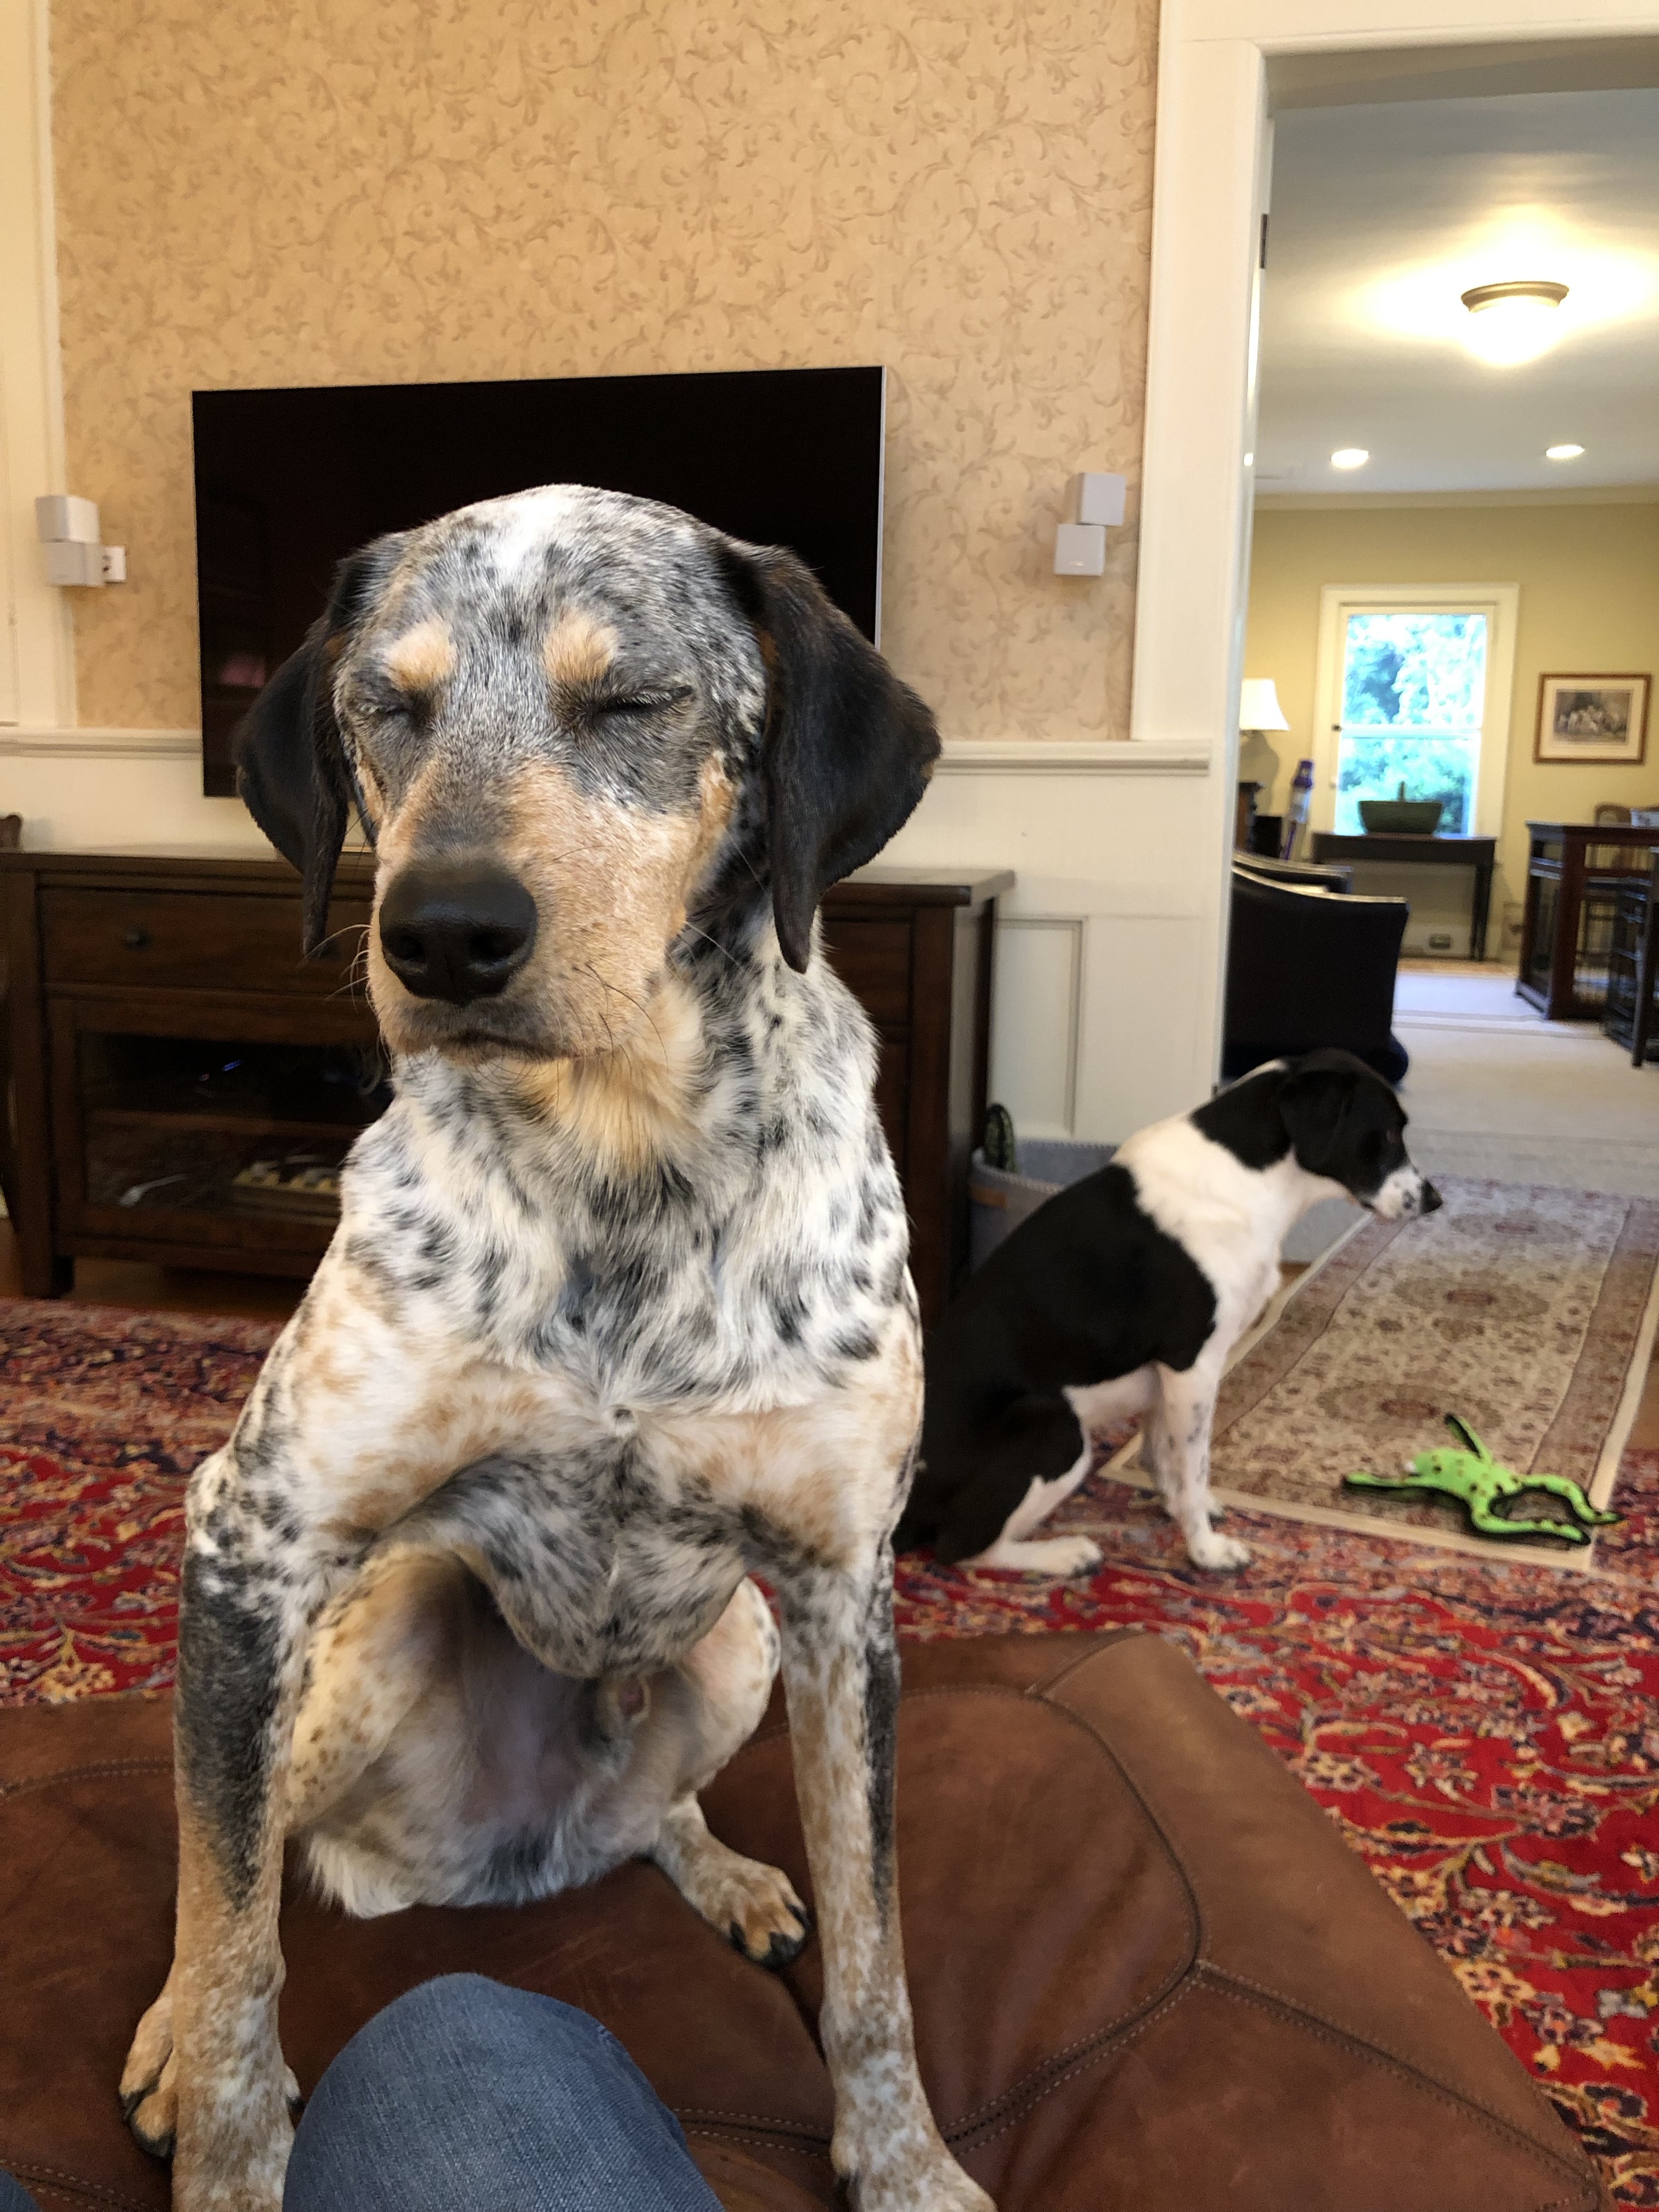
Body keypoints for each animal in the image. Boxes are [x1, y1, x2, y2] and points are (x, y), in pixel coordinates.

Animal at [120, 485, 993, 2212]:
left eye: (635, 703)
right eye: (386, 707)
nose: (443, 935)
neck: (622, 1152)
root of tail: (521, 1858)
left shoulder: (841, 1592)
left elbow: (878, 1958)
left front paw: (907, 2166)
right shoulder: (250, 1542)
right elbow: (230, 1928)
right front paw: (228, 2139)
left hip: (740, 1647)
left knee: (656, 1815)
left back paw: (720, 1873)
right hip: (364, 1624)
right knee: (240, 1858)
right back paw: (171, 2031)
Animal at [898, 1050, 1441, 1577]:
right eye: (1388, 1133)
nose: (1436, 1201)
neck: (1247, 1175)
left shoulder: (1168, 1377)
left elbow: (1167, 1457)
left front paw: (1181, 1509)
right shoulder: (1193, 1363)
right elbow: (1193, 1463)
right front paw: (1207, 1551)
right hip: (1055, 1427)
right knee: (959, 1546)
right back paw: (1065, 1554)